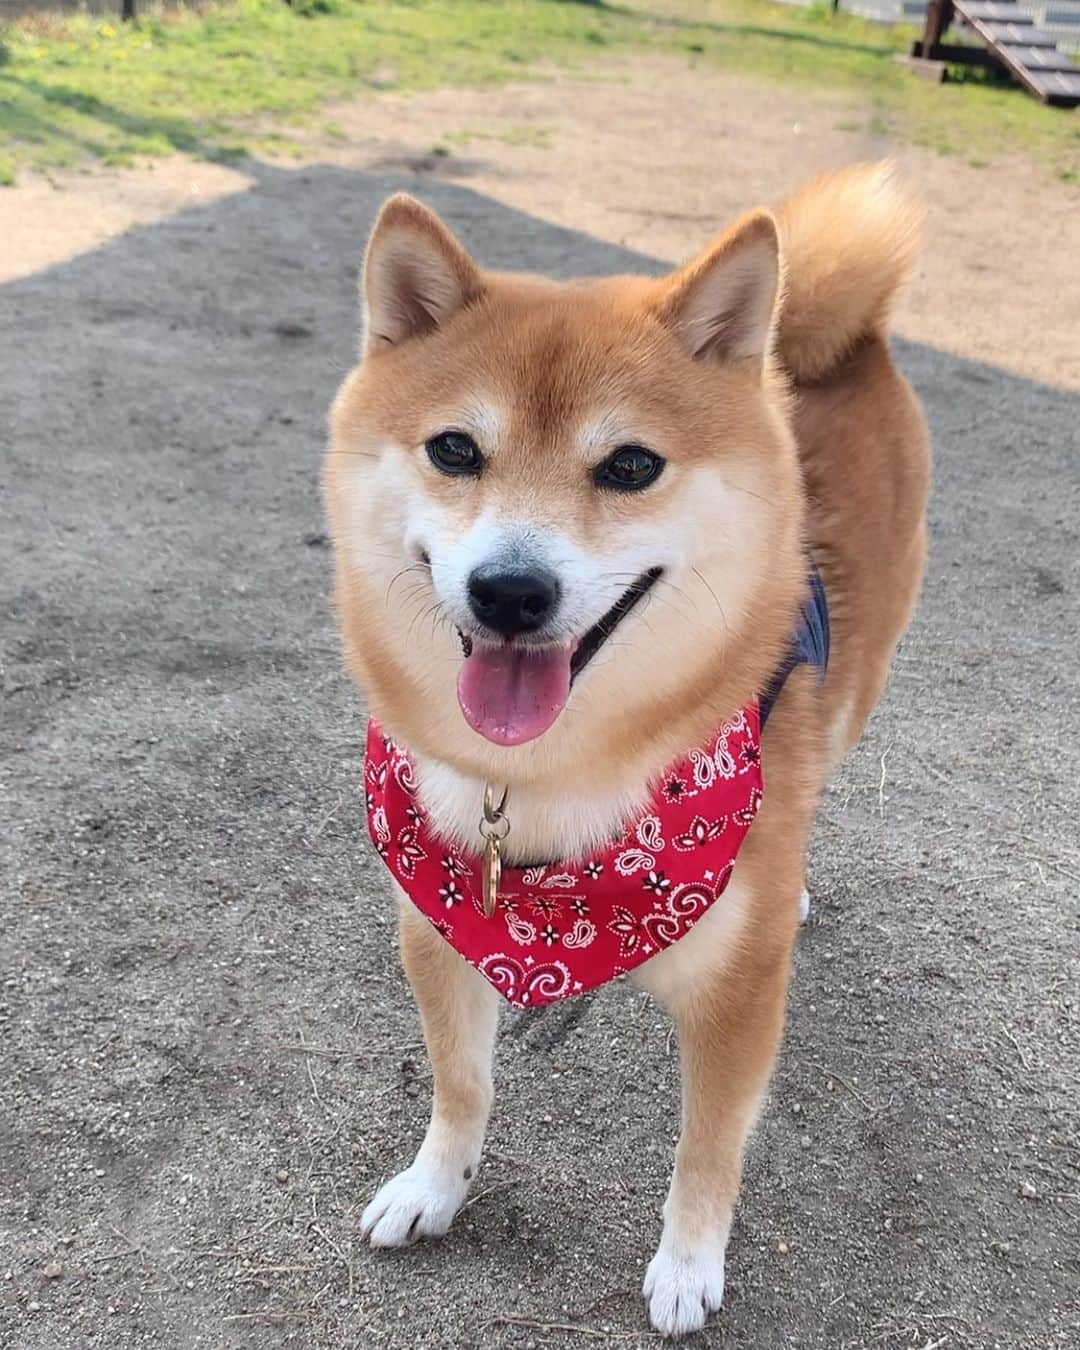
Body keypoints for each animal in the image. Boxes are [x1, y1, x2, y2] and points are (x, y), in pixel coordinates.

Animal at [325, 163, 934, 1333]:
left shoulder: (740, 992)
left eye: (632, 465)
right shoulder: (437, 923)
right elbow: (461, 1084)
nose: (511, 592)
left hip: (860, 683)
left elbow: (708, 1148)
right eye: (455, 449)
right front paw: (434, 1187)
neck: (542, 787)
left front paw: (689, 1265)